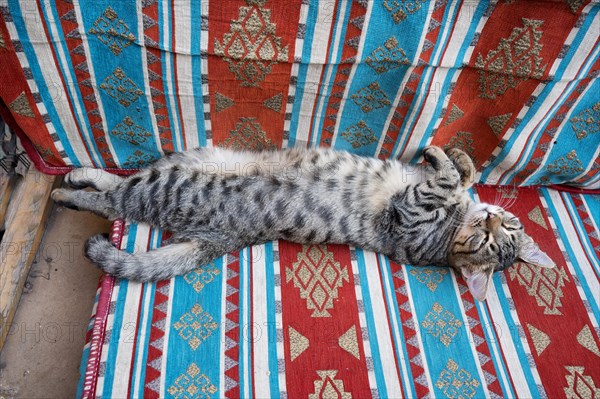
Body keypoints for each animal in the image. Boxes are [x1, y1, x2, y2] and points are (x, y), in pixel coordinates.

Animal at [51, 146, 552, 300]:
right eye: (505, 231)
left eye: (491, 248)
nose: (492, 224)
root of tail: (222, 238)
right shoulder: (436, 196)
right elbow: (461, 173)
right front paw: (453, 157)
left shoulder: (408, 214)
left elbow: (443, 181)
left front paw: (445, 162)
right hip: (188, 161)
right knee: (116, 187)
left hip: (169, 184)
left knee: (113, 201)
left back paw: (66, 190)